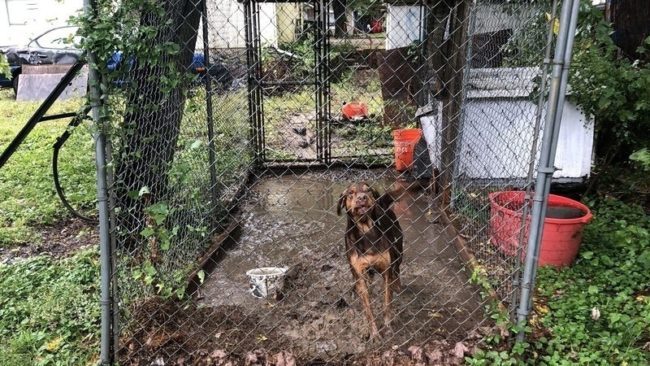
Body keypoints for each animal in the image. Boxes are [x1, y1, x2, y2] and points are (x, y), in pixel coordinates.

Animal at [336, 182, 402, 338]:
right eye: (350, 193)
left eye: (369, 191)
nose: (362, 198)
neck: (366, 231)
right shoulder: (359, 273)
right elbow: (368, 309)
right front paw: (374, 333)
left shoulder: (386, 271)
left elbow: (387, 302)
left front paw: (387, 326)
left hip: (398, 251)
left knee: (397, 269)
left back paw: (397, 285)